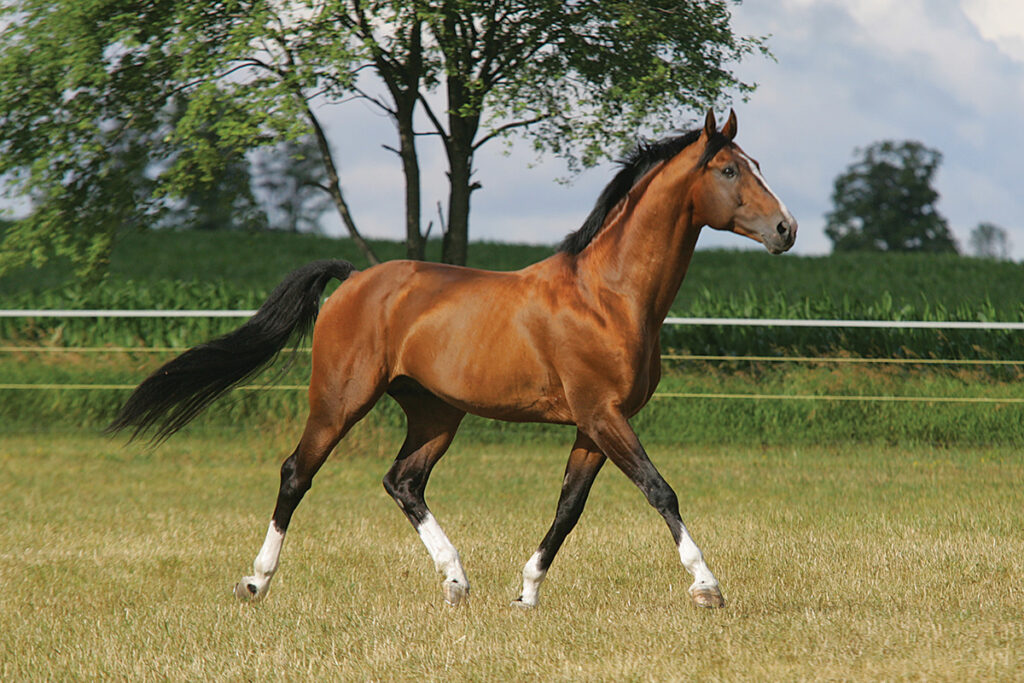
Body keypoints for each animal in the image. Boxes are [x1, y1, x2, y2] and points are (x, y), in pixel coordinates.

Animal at [109, 109, 796, 610]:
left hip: (436, 412)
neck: (610, 296)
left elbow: (568, 509)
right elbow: (660, 491)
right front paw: (707, 588)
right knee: (296, 474)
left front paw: (526, 593)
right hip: (339, 401)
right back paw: (256, 582)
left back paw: (456, 582)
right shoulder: (603, 415)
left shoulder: (594, 424)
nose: (786, 229)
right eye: (729, 170)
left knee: (403, 480)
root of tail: (354, 280)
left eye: (758, 165)